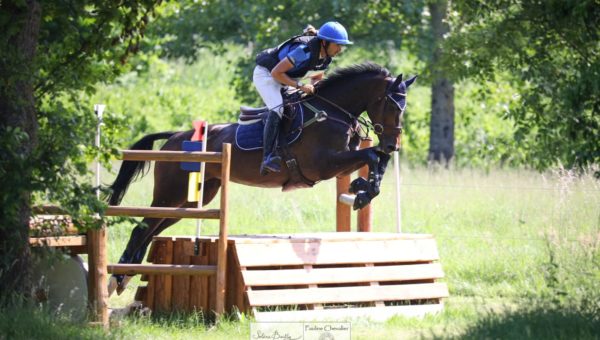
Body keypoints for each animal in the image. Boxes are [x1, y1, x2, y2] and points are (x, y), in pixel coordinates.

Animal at [106, 61, 418, 294]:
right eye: (392, 106)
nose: (394, 145)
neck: (333, 111)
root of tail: (174, 137)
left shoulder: (340, 162)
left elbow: (376, 158)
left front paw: (362, 187)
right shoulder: (324, 164)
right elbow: (372, 156)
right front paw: (363, 191)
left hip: (193, 199)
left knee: (153, 229)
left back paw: (127, 273)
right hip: (172, 193)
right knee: (142, 228)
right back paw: (117, 277)